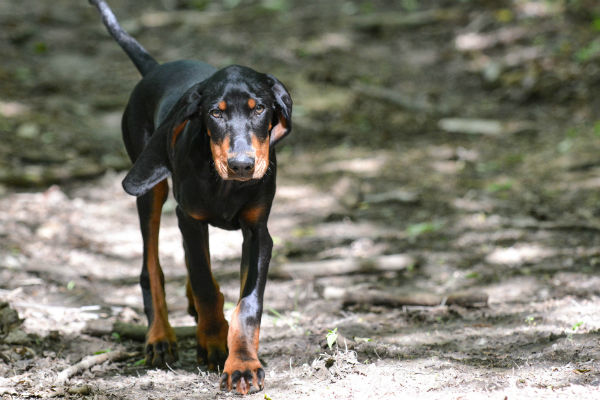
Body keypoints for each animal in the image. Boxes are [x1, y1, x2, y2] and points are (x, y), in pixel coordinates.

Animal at [89, 0, 292, 394]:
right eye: (215, 113)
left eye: (260, 108)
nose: (242, 165)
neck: (226, 185)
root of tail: (155, 67)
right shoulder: (190, 218)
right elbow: (203, 282)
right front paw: (213, 341)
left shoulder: (258, 232)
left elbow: (248, 305)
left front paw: (243, 364)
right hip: (150, 188)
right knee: (151, 268)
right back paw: (160, 337)